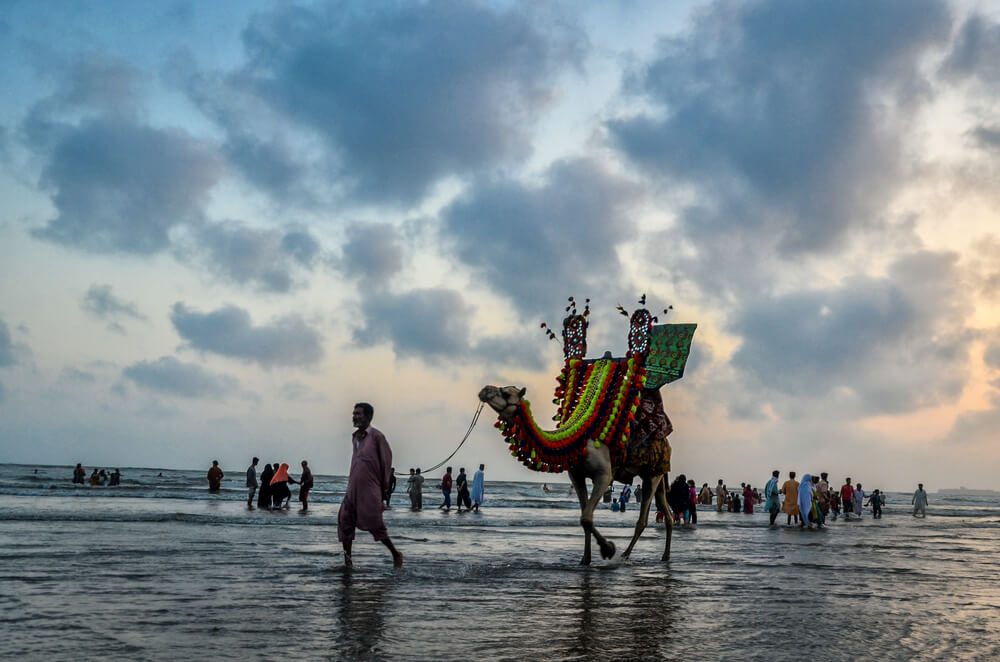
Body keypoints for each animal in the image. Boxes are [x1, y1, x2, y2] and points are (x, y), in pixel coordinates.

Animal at [476, 300, 696, 564]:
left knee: (643, 518)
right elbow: (583, 519)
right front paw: (586, 558)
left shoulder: (604, 474)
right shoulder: (577, 475)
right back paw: (664, 556)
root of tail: (666, 442)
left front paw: (608, 549)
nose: (484, 390)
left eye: (506, 392)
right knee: (667, 512)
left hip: (653, 473)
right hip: (655, 474)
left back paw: (625, 554)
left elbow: (586, 517)